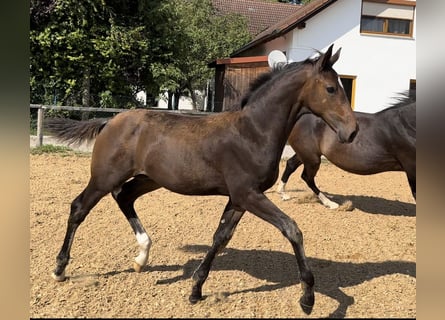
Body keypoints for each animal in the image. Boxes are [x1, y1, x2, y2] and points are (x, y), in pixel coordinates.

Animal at [45, 44, 358, 316]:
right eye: (331, 88)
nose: (352, 131)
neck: (253, 132)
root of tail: (109, 121)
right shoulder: (248, 194)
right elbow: (292, 229)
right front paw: (308, 299)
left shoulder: (239, 198)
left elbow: (221, 237)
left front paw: (195, 290)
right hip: (104, 177)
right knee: (79, 208)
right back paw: (60, 269)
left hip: (149, 179)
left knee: (124, 197)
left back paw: (141, 257)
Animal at [276, 91, 414, 209]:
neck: (406, 124)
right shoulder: (411, 169)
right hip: (312, 157)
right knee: (307, 177)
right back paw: (330, 203)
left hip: (306, 154)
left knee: (291, 165)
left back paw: (283, 194)